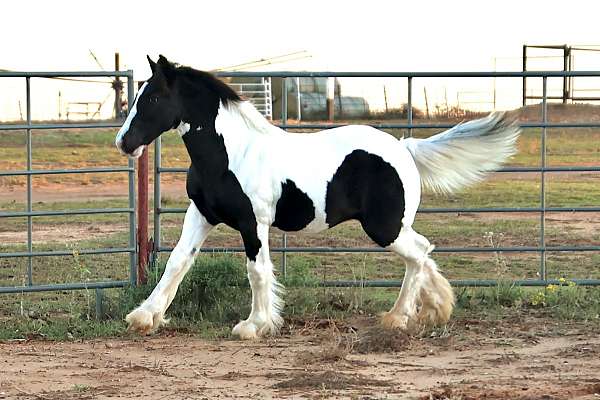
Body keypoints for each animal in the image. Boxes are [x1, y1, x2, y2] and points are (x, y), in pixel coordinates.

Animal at [115, 54, 516, 340]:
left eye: (153, 97)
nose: (124, 143)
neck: (232, 153)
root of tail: (404, 148)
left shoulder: (253, 222)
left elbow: (257, 271)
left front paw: (255, 325)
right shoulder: (200, 214)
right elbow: (177, 262)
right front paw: (144, 316)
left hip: (384, 227)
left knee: (418, 253)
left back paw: (398, 318)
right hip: (393, 226)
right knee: (424, 253)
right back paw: (436, 307)